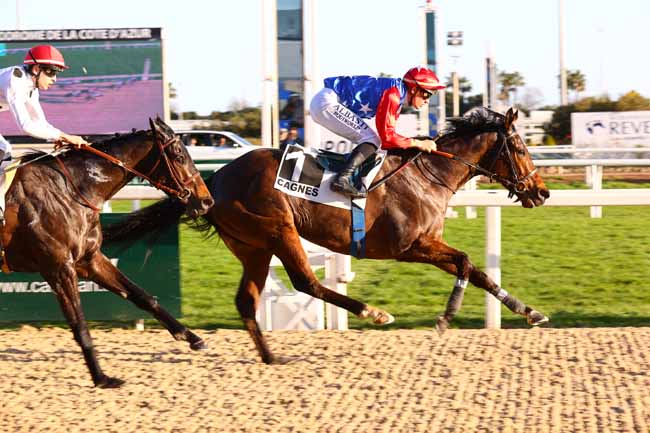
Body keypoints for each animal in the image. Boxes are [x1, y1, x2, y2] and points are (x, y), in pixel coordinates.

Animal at [1, 116, 214, 386]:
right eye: (178, 154)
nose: (206, 201)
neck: (69, 190)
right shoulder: (59, 269)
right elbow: (80, 325)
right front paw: (101, 377)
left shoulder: (89, 260)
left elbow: (142, 296)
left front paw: (191, 336)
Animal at [104, 106, 548, 362]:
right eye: (520, 149)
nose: (541, 192)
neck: (429, 175)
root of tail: (213, 180)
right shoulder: (411, 246)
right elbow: (467, 263)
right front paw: (445, 317)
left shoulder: (425, 245)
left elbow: (481, 272)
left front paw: (530, 312)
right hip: (279, 229)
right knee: (306, 282)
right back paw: (372, 311)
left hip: (253, 247)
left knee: (247, 300)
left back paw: (271, 358)